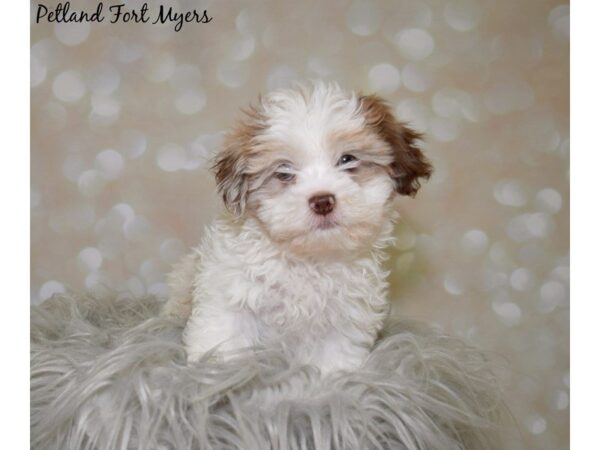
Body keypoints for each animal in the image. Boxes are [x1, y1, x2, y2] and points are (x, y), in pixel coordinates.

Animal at [159, 82, 432, 374]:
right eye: (284, 171)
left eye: (348, 159)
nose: (322, 201)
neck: (307, 259)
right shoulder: (230, 299)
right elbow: (224, 341)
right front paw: (217, 373)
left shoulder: (345, 318)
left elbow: (334, 359)